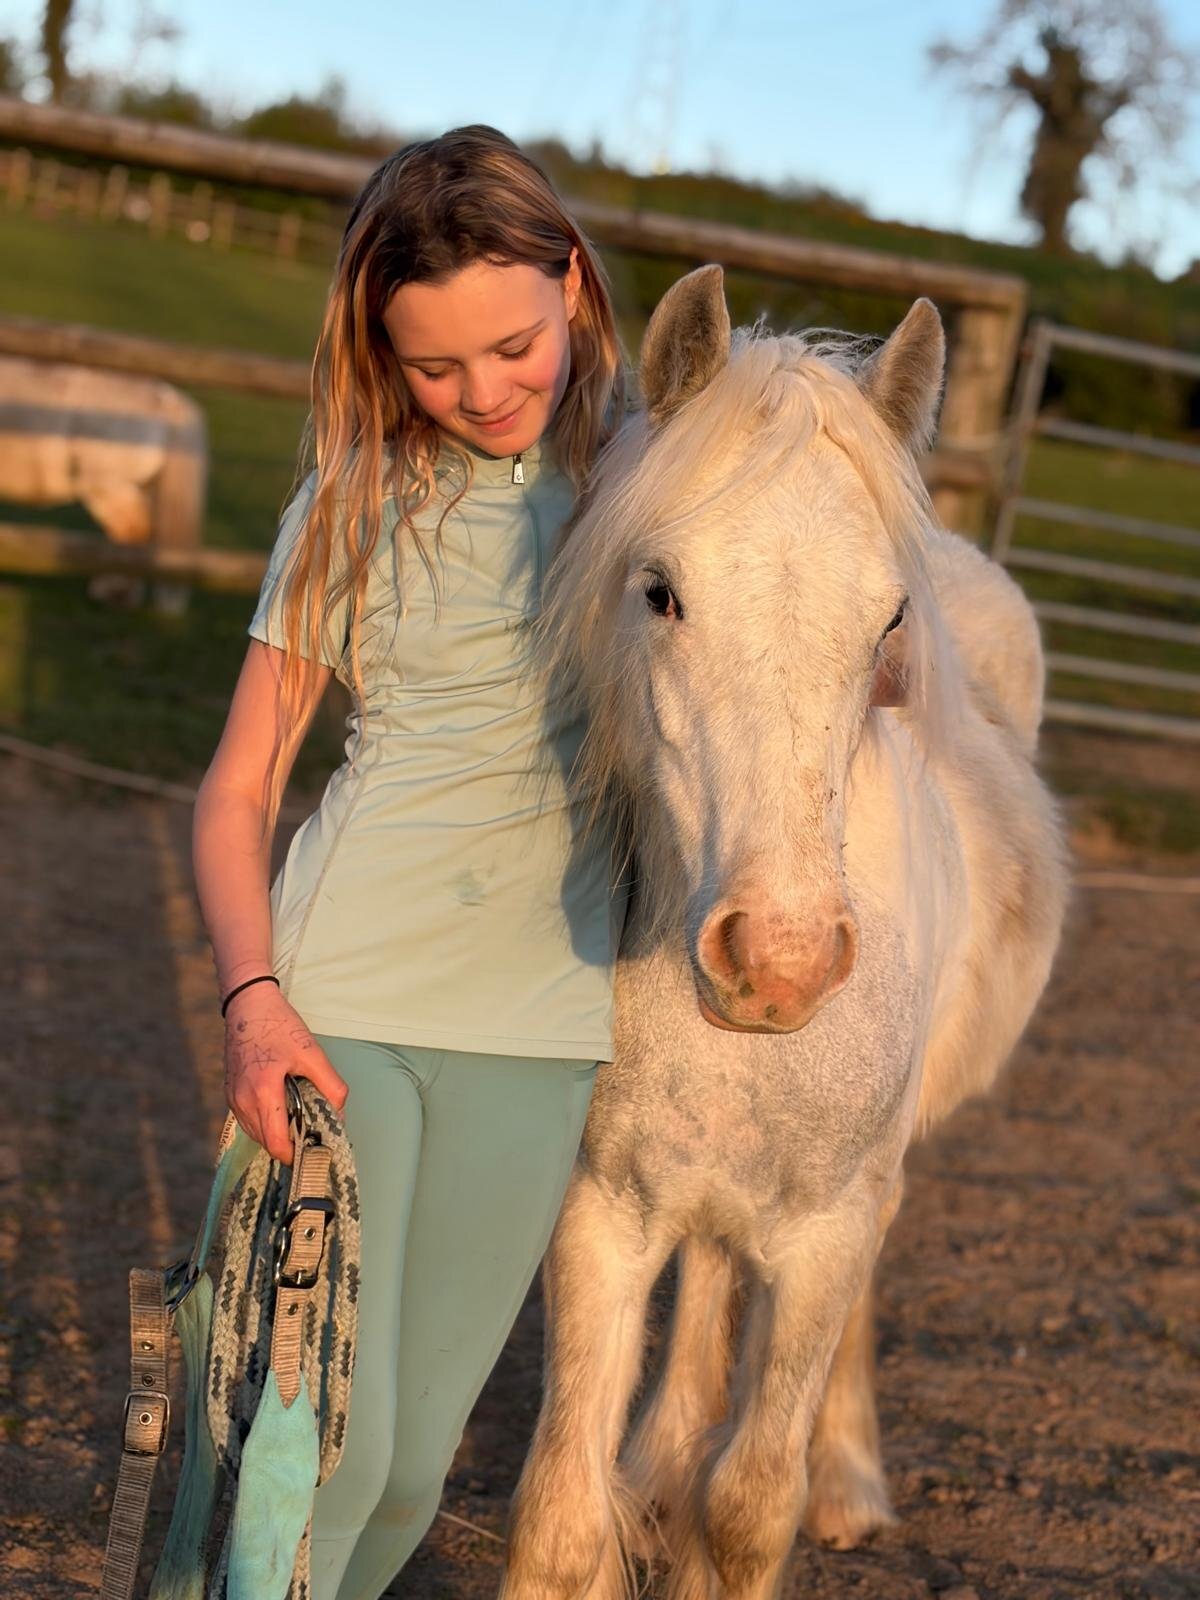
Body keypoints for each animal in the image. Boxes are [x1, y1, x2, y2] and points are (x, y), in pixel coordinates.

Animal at [500, 268, 1068, 1600]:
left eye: (891, 623)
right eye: (661, 590)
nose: (782, 962)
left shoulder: (822, 1236)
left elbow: (753, 1506)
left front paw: (787, 1491)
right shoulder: (601, 1215)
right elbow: (560, 1515)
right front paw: (637, 1486)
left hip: (878, 1177)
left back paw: (849, 1479)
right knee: (710, 1279)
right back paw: (662, 1457)